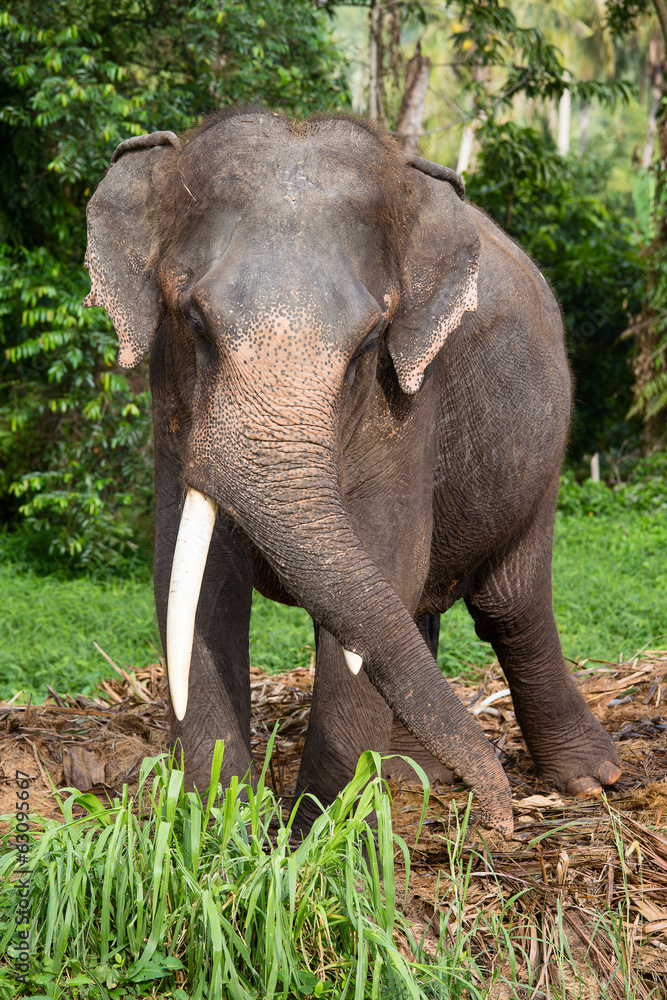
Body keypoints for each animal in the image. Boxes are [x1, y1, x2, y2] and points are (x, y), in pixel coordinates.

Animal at [84, 109, 622, 837]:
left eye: (369, 340)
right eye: (193, 322)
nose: (500, 815)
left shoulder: (409, 400)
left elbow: (387, 555)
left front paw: (321, 837)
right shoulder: (170, 414)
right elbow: (190, 580)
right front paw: (226, 829)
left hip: (543, 456)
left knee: (509, 605)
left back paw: (591, 779)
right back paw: (411, 776)